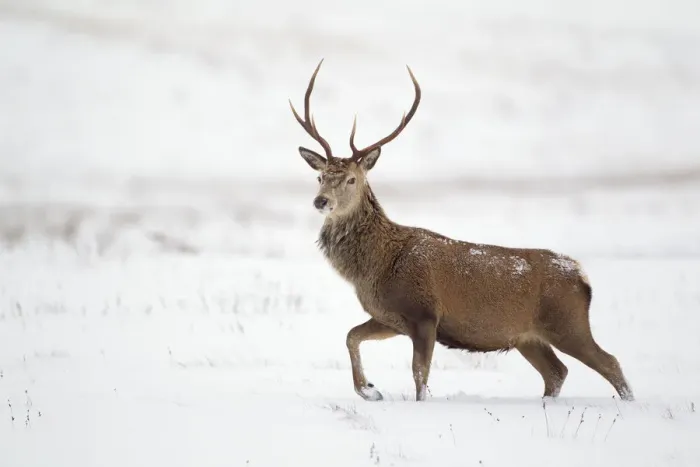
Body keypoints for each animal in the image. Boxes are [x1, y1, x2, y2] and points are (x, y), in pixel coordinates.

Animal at [289, 59, 634, 403]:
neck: (375, 267)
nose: (321, 201)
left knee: (611, 363)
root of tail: (582, 277)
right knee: (557, 372)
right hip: (528, 337)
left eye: (351, 179)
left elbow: (420, 376)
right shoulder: (390, 317)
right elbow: (351, 336)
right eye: (320, 176)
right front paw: (370, 391)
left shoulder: (424, 313)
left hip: (567, 322)